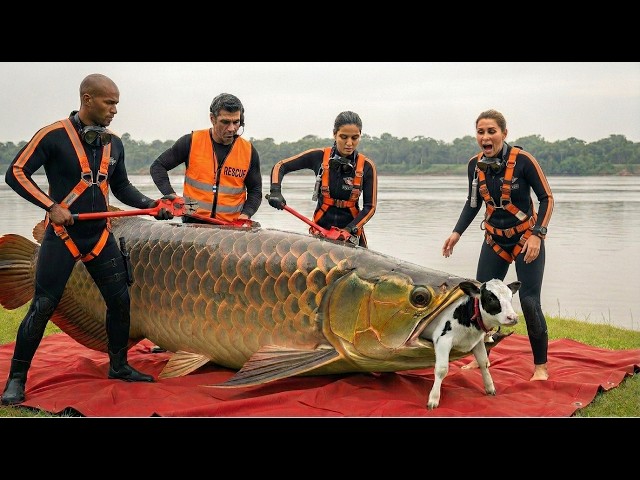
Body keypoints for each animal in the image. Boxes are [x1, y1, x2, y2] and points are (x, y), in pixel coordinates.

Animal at [421, 279, 521, 409]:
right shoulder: (443, 339)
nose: (513, 317)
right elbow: (442, 369)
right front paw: (433, 399)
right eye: (490, 298)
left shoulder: (477, 341)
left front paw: (490, 387)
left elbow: (484, 363)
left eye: (510, 298)